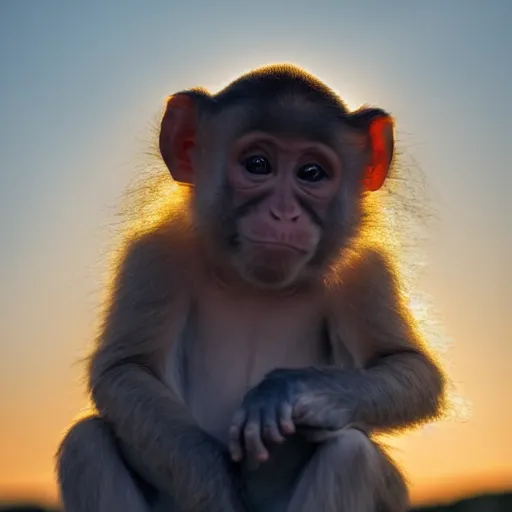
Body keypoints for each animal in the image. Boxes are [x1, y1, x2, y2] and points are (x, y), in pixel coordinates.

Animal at [56, 65, 446, 512]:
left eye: (311, 173)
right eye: (258, 165)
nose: (283, 214)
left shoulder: (365, 271)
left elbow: (414, 368)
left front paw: (297, 392)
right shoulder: (155, 253)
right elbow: (124, 370)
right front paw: (216, 490)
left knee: (350, 454)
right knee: (87, 441)